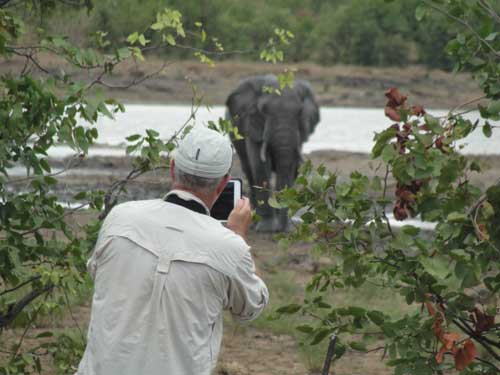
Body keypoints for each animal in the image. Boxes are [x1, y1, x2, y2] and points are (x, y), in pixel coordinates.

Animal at [227, 74, 320, 231]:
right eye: (263, 110)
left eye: (299, 112)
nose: (282, 229)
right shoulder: (252, 125)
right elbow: (260, 166)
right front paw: (266, 229)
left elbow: (290, 168)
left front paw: (285, 229)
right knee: (249, 171)